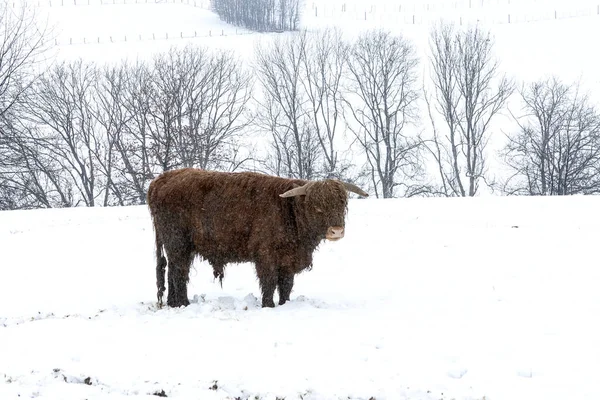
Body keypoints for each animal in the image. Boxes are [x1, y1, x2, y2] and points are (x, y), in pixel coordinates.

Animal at [148, 167, 368, 308]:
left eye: (342, 203)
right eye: (317, 206)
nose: (336, 230)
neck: (289, 211)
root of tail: (160, 180)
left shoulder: (288, 259)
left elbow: (286, 285)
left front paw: (285, 304)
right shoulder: (266, 255)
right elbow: (269, 282)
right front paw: (268, 305)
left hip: (178, 247)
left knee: (171, 271)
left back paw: (173, 303)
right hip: (178, 243)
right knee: (179, 273)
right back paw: (183, 303)